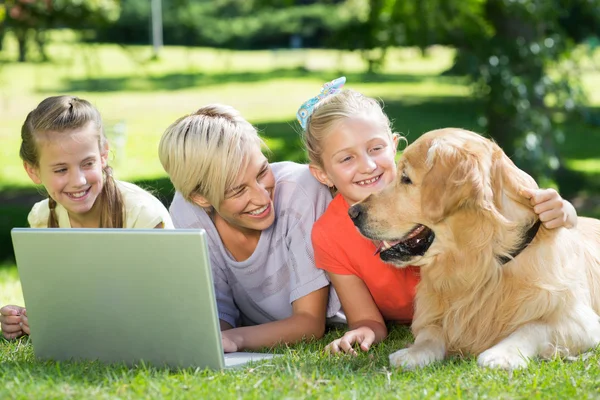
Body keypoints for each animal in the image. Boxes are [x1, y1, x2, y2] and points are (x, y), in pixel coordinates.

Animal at [350, 127, 600, 368]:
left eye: (406, 178)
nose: (353, 212)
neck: (482, 266)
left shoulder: (582, 322)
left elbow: (533, 327)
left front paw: (501, 354)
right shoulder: (435, 314)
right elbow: (430, 333)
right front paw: (413, 353)